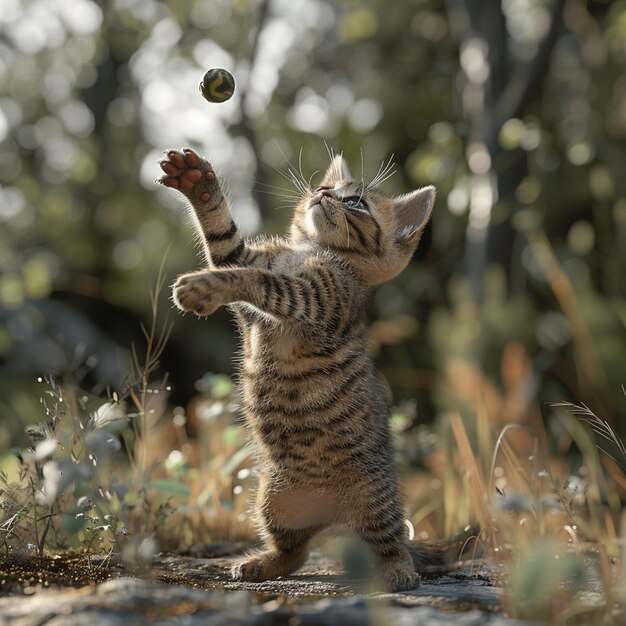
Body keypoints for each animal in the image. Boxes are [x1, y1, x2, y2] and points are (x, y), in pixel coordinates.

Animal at [157, 149, 448, 588]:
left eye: (356, 202)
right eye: (326, 186)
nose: (323, 193)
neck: (308, 251)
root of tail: (331, 519)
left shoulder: (314, 299)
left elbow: (256, 278)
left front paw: (204, 286)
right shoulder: (250, 261)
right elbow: (226, 243)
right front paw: (199, 184)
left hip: (373, 499)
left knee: (393, 541)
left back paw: (399, 571)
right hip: (272, 503)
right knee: (296, 551)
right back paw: (263, 563)